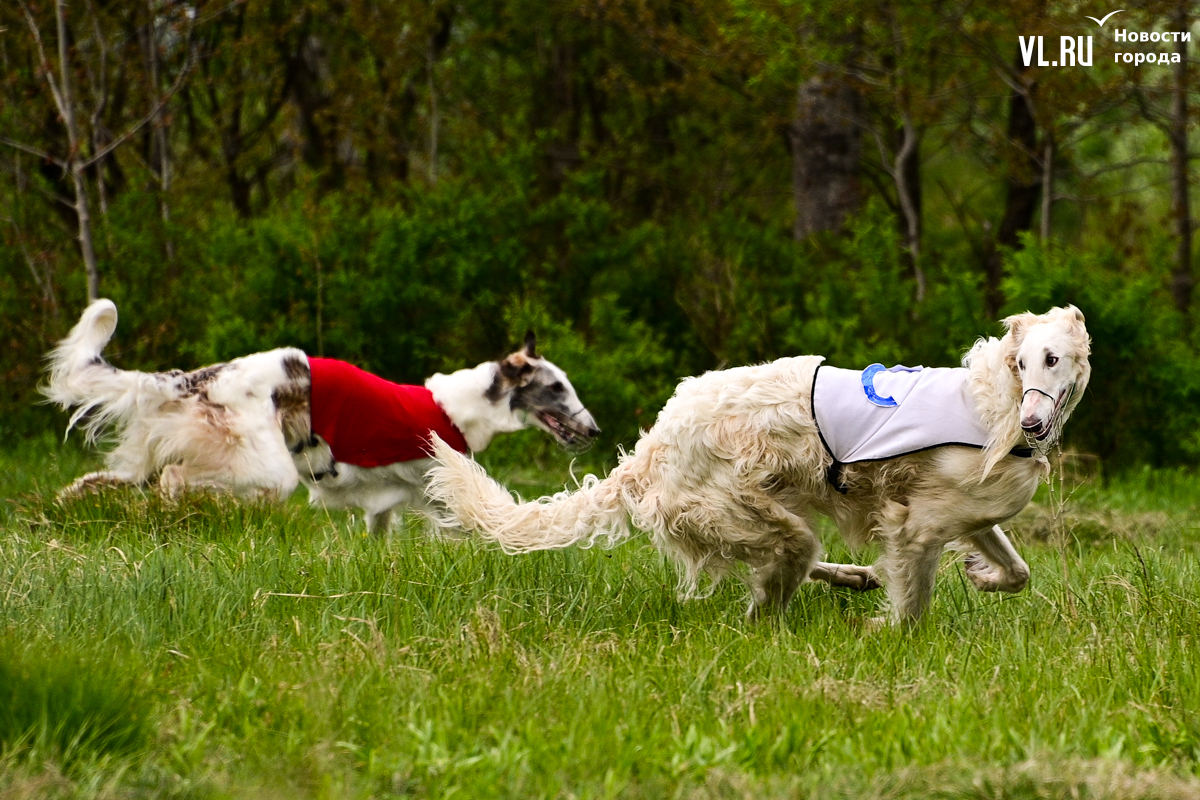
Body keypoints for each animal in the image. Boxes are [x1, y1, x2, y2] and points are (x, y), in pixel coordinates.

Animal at [46, 298, 600, 532]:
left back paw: (65, 504)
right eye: (556, 387)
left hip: (147, 458)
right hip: (267, 469)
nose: (594, 430)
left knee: (104, 481)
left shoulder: (389, 503)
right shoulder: (434, 487)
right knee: (175, 481)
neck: (456, 406)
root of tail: (203, 376)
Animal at [427, 307, 1094, 623]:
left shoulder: (967, 513)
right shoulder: (918, 524)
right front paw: (892, 634)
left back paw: (850, 576)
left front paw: (984, 576)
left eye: (1054, 359)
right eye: (1025, 362)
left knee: (783, 563)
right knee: (767, 593)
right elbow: (911, 604)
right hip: (745, 513)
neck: (988, 402)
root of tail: (651, 448)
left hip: (771, 511)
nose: (1033, 426)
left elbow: (1018, 570)